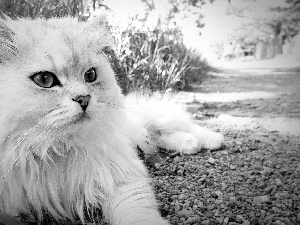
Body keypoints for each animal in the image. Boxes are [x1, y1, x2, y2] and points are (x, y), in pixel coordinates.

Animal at [0, 14, 223, 224]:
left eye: (90, 75)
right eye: (44, 79)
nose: (84, 99)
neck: (54, 150)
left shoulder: (121, 178)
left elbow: (138, 214)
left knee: (181, 124)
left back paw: (213, 140)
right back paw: (191, 144)